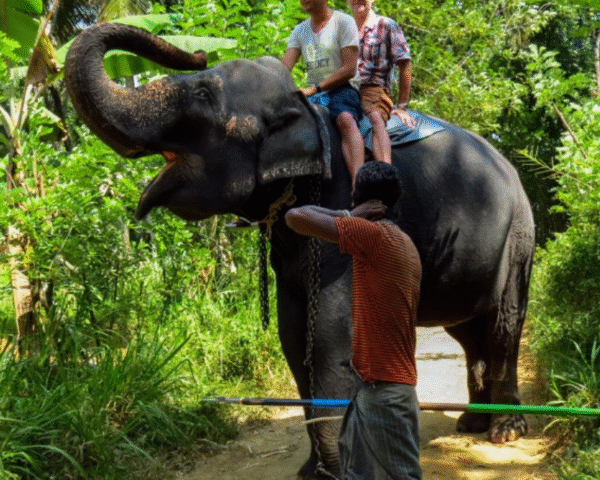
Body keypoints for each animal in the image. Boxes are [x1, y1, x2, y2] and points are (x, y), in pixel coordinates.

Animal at [65, 23, 536, 480]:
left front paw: (334, 471)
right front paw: (313, 470)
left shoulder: (343, 213)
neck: (308, 113)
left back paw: (506, 431)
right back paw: (472, 423)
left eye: (202, 95)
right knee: (468, 329)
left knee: (504, 323)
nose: (196, 54)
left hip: (520, 235)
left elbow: (329, 337)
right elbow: (292, 334)